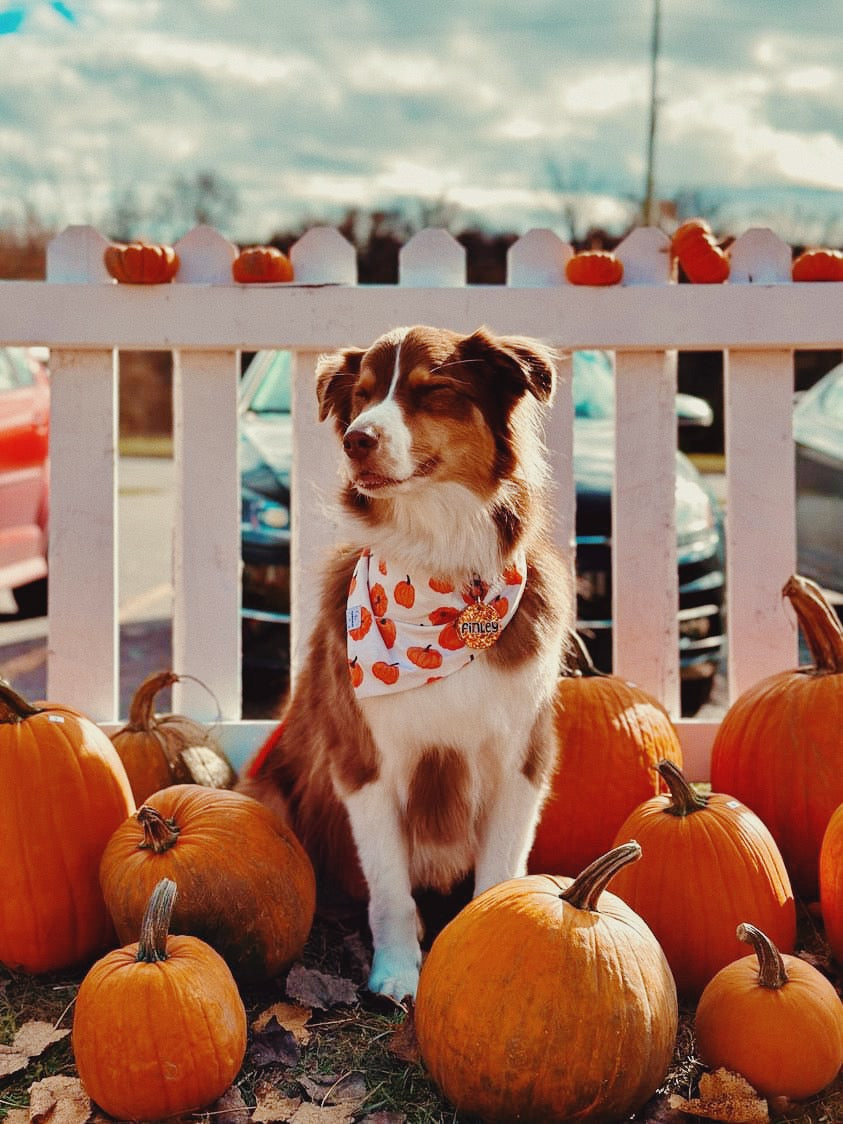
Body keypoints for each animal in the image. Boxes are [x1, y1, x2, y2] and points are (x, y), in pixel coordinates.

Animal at [240, 325, 579, 1002]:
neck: (439, 569)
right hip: (267, 791)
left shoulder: (521, 759)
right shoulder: (364, 761)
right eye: (363, 396)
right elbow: (391, 890)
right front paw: (396, 973)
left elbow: (500, 872)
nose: (356, 439)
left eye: (431, 392)